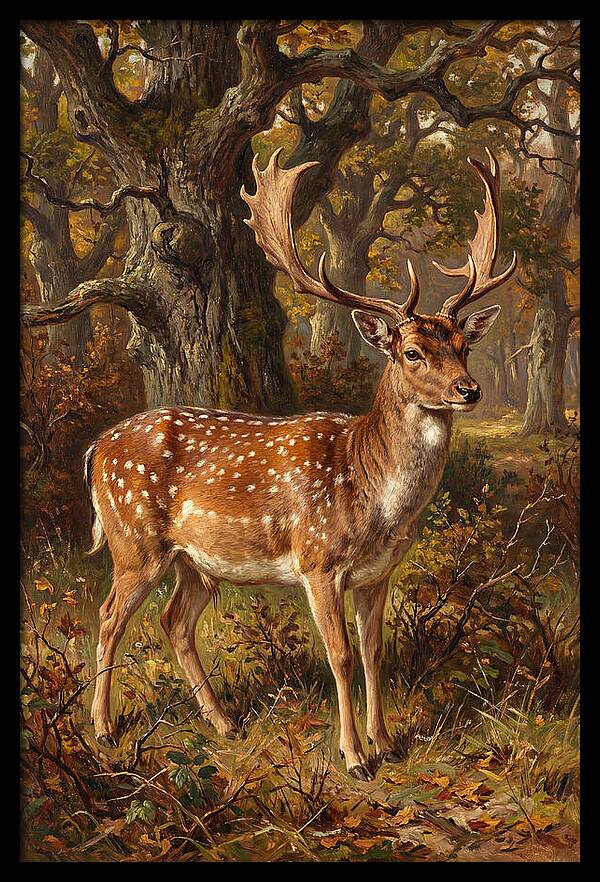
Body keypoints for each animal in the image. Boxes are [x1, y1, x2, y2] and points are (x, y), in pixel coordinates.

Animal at [84, 146, 516, 781]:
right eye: (412, 352)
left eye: (464, 346)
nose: (469, 390)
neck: (374, 494)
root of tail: (97, 448)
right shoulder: (318, 562)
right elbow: (339, 655)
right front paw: (354, 757)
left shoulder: (378, 573)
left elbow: (374, 651)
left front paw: (388, 744)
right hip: (134, 540)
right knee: (110, 615)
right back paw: (104, 727)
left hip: (196, 562)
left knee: (174, 623)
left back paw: (224, 722)